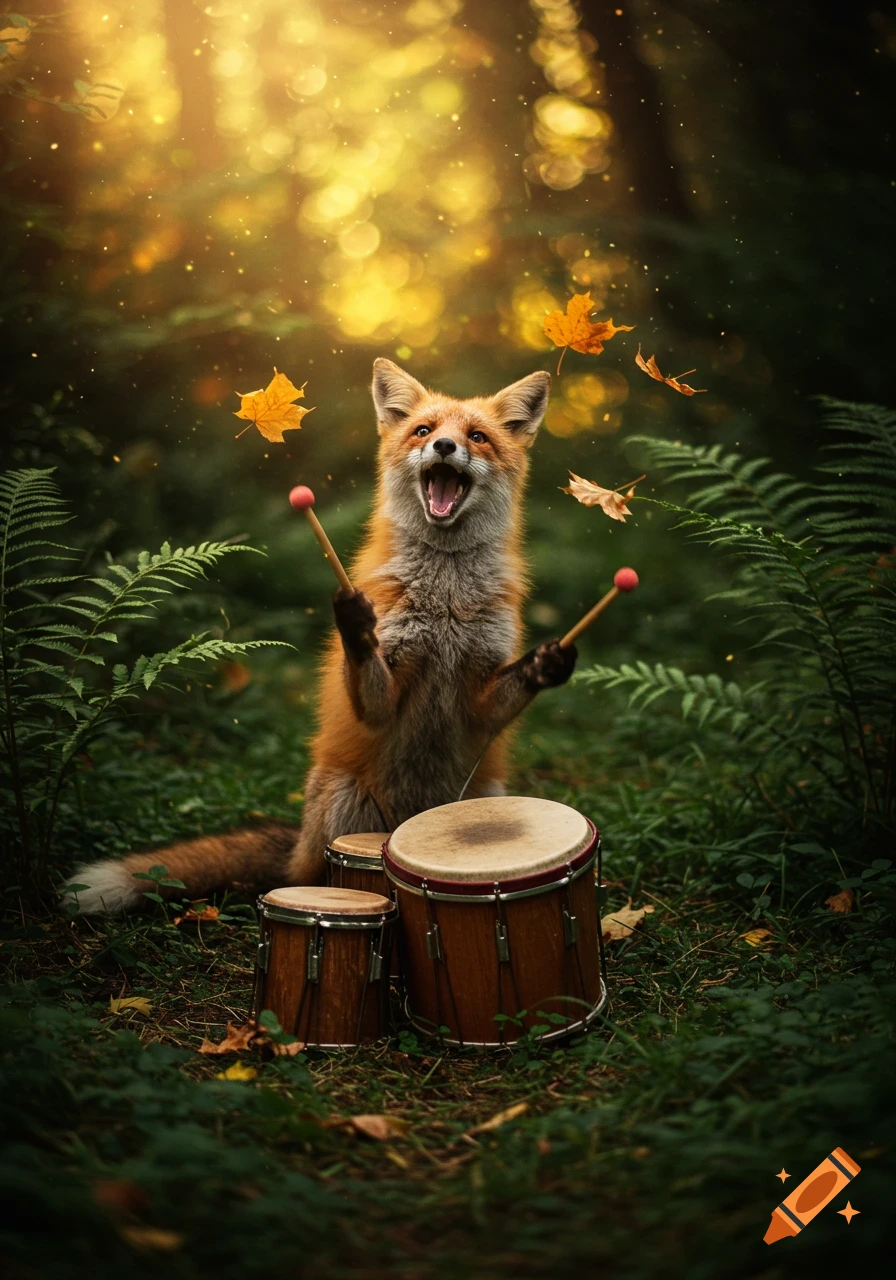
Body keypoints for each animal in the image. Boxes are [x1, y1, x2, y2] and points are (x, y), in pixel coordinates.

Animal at [68, 358, 578, 913]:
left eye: (478, 437)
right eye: (423, 431)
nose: (444, 446)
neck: (444, 597)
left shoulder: (479, 691)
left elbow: (502, 698)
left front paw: (548, 664)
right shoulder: (387, 688)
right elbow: (369, 675)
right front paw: (354, 621)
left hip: (484, 791)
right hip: (342, 803)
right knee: (313, 877)